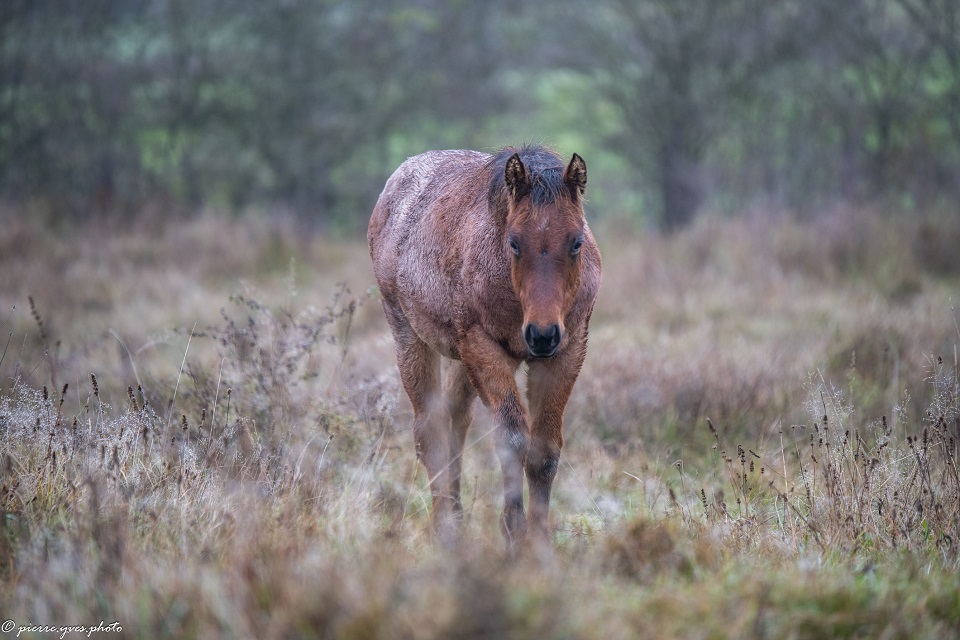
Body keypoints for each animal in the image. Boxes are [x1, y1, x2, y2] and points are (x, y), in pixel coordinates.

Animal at [368, 144, 602, 550]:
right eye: (514, 242)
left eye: (576, 242)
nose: (542, 335)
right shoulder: (484, 348)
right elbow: (511, 438)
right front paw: (513, 534)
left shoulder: (566, 354)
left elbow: (544, 450)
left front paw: (539, 545)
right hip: (411, 337)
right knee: (430, 431)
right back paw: (445, 528)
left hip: (461, 360)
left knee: (455, 422)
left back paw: (457, 518)